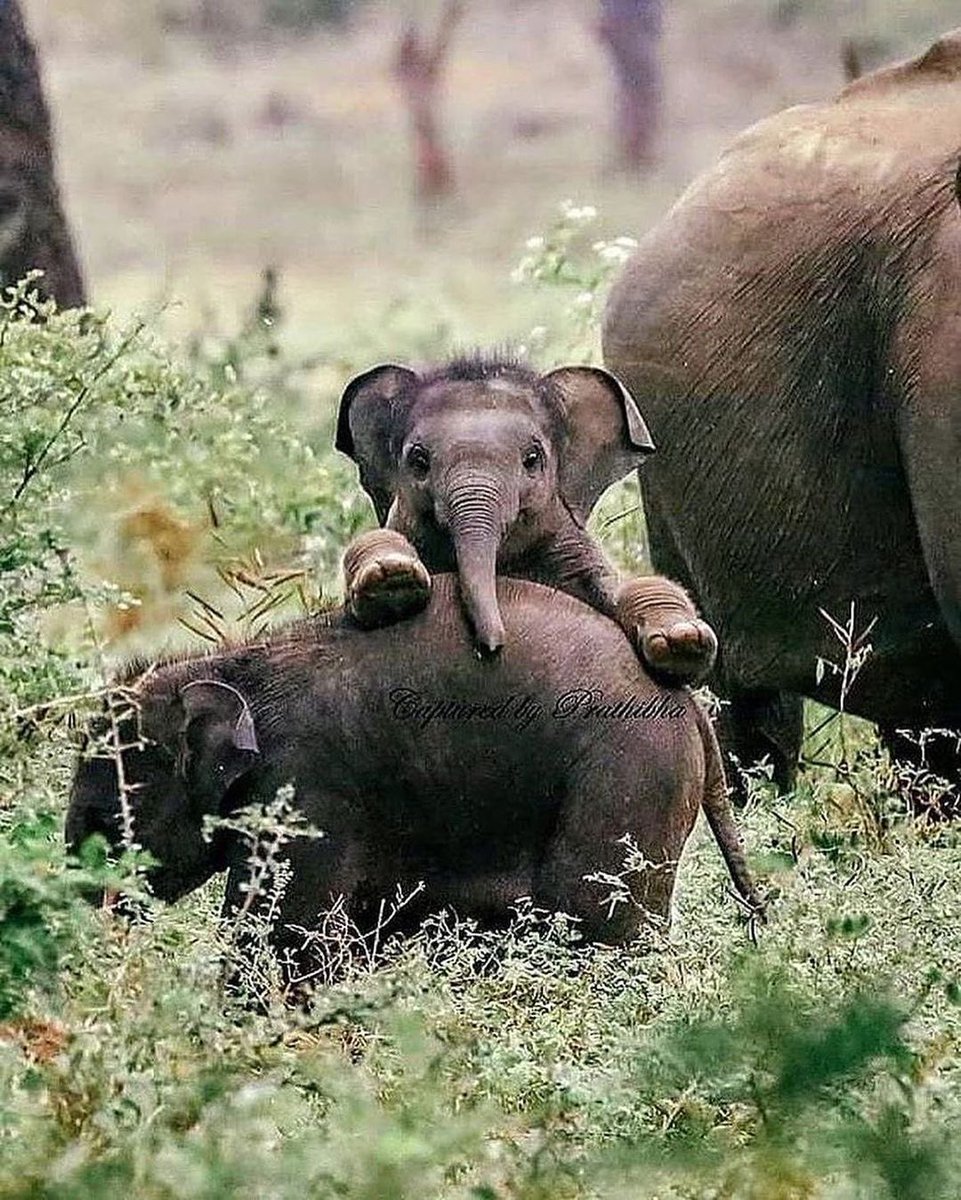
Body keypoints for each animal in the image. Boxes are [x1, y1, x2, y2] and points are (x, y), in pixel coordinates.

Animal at [67, 575, 763, 992]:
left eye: (108, 816)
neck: (234, 663)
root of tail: (690, 704)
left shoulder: (306, 789)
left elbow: (283, 936)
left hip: (625, 780)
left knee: (597, 933)